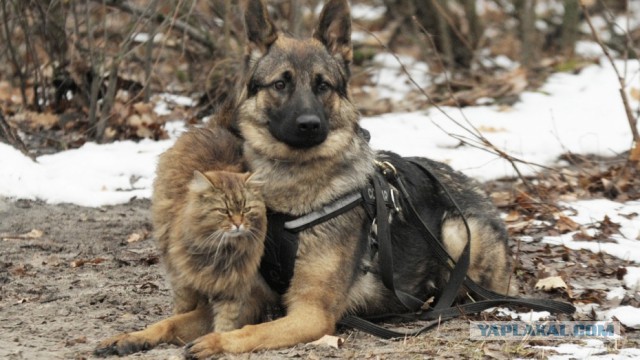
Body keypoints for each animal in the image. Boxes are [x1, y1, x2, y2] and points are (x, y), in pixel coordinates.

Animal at [96, 0, 516, 356]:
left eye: (322, 85)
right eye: (280, 84)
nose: (309, 124)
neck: (290, 193)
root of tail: (471, 184)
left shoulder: (309, 313)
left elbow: (247, 331)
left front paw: (216, 341)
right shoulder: (250, 296)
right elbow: (176, 320)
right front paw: (134, 335)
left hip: (457, 232)